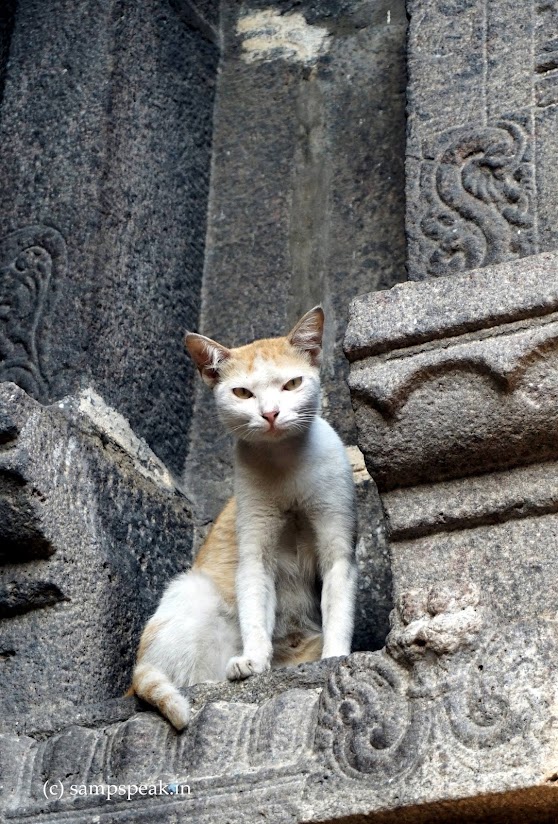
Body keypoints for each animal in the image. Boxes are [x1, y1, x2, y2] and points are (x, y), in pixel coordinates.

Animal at [130, 306, 357, 730]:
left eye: (292, 384)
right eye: (242, 393)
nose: (270, 413)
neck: (285, 466)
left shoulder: (338, 546)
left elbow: (339, 610)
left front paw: (335, 656)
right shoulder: (254, 551)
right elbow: (254, 611)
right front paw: (253, 660)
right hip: (193, 590)